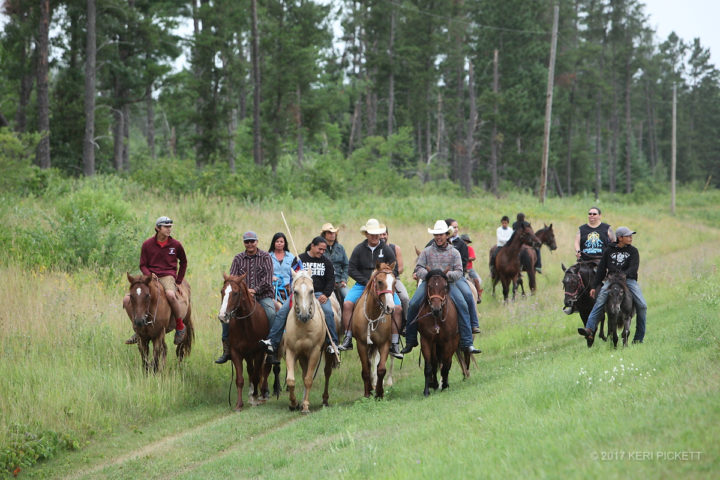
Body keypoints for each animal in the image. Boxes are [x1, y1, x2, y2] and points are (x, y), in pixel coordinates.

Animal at [218, 272, 278, 410]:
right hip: (248, 354)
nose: (223, 316)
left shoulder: (259, 352)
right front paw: (239, 404)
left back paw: (263, 394)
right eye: (222, 291)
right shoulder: (236, 352)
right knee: (252, 370)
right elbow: (240, 379)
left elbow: (257, 376)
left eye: (235, 293)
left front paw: (255, 399)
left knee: (265, 369)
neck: (247, 324)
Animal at [282, 270, 338, 412]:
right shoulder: (291, 351)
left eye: (311, 291)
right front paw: (293, 403)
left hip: (327, 353)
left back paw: (324, 399)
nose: (304, 314)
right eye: (295, 291)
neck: (303, 326)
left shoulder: (314, 352)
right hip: (302, 355)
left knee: (327, 372)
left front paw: (306, 406)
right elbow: (291, 380)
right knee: (303, 373)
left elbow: (308, 379)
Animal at [352, 262, 396, 398]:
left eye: (394, 282)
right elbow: (366, 369)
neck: (372, 315)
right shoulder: (361, 344)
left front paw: (379, 393)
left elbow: (381, 368)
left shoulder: (384, 343)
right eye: (380, 282)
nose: (390, 308)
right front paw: (367, 393)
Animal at [414, 270, 470, 398]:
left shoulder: (450, 342)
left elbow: (446, 365)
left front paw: (444, 385)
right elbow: (429, 366)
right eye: (429, 286)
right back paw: (434, 384)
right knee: (435, 363)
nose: (436, 309)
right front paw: (427, 390)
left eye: (444, 286)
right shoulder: (426, 340)